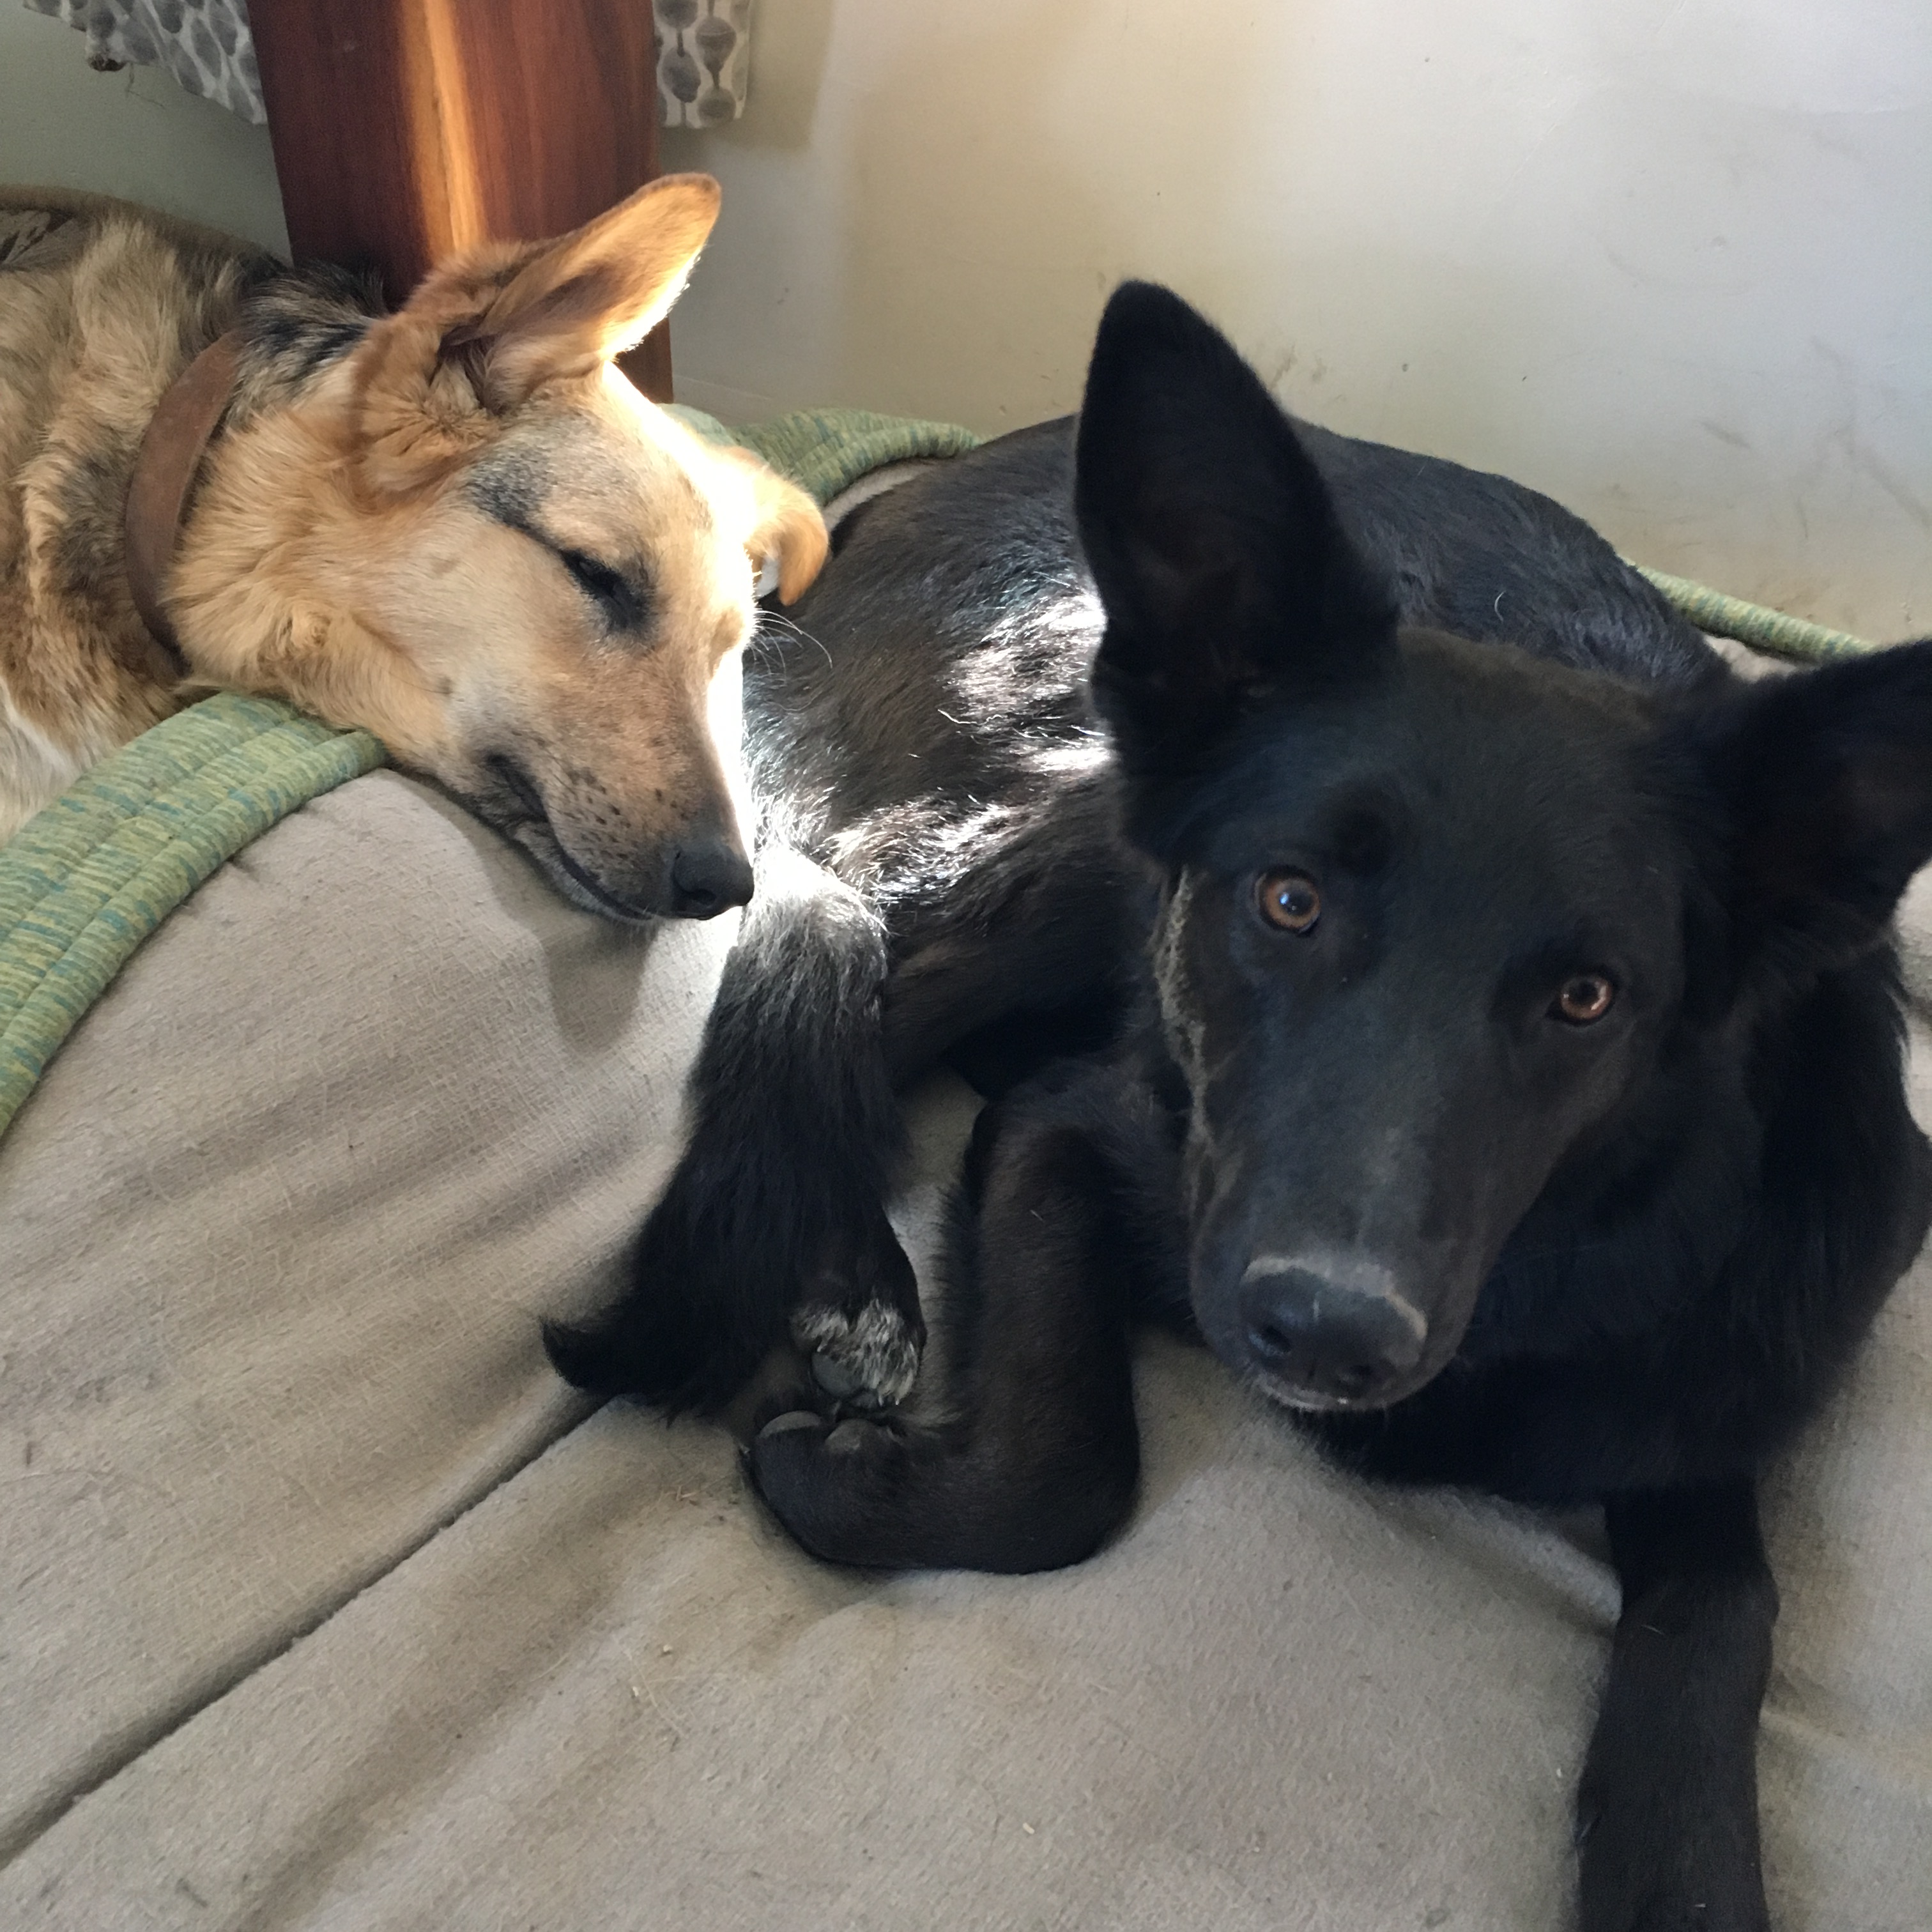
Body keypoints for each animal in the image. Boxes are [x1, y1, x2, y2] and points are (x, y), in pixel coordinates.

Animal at [551, 283, 1932, 1929]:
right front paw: (842, 1475)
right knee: (868, 964)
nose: (1329, 1336)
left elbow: (1728, 1606)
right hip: (1076, 822)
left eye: (1589, 999)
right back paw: (844, 1273)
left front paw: (1683, 1868)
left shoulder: (1704, 1390)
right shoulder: (1077, 1139)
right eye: (1287, 900)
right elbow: (1068, 1469)